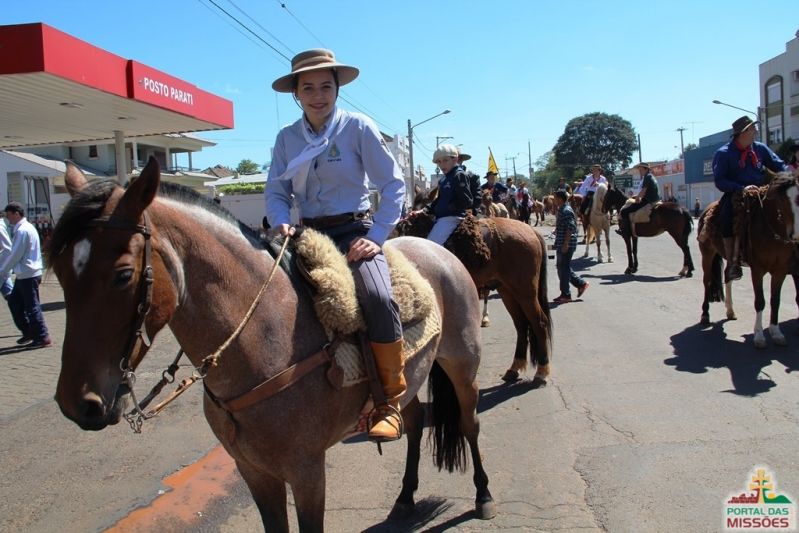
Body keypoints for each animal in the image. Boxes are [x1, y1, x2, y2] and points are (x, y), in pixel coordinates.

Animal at [50, 158, 497, 531]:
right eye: (59, 272)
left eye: (123, 275)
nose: (77, 404)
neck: (265, 338)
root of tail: (437, 249)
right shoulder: (253, 471)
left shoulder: (307, 471)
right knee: (416, 421)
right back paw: (404, 497)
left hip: (463, 366)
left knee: (470, 423)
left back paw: (483, 496)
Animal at [698, 174, 799, 348]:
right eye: (781, 199)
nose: (796, 234)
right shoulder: (757, 270)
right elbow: (760, 301)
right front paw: (759, 336)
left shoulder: (780, 270)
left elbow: (775, 300)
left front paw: (776, 332)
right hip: (707, 254)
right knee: (707, 281)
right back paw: (705, 315)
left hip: (730, 257)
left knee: (727, 275)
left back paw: (730, 311)